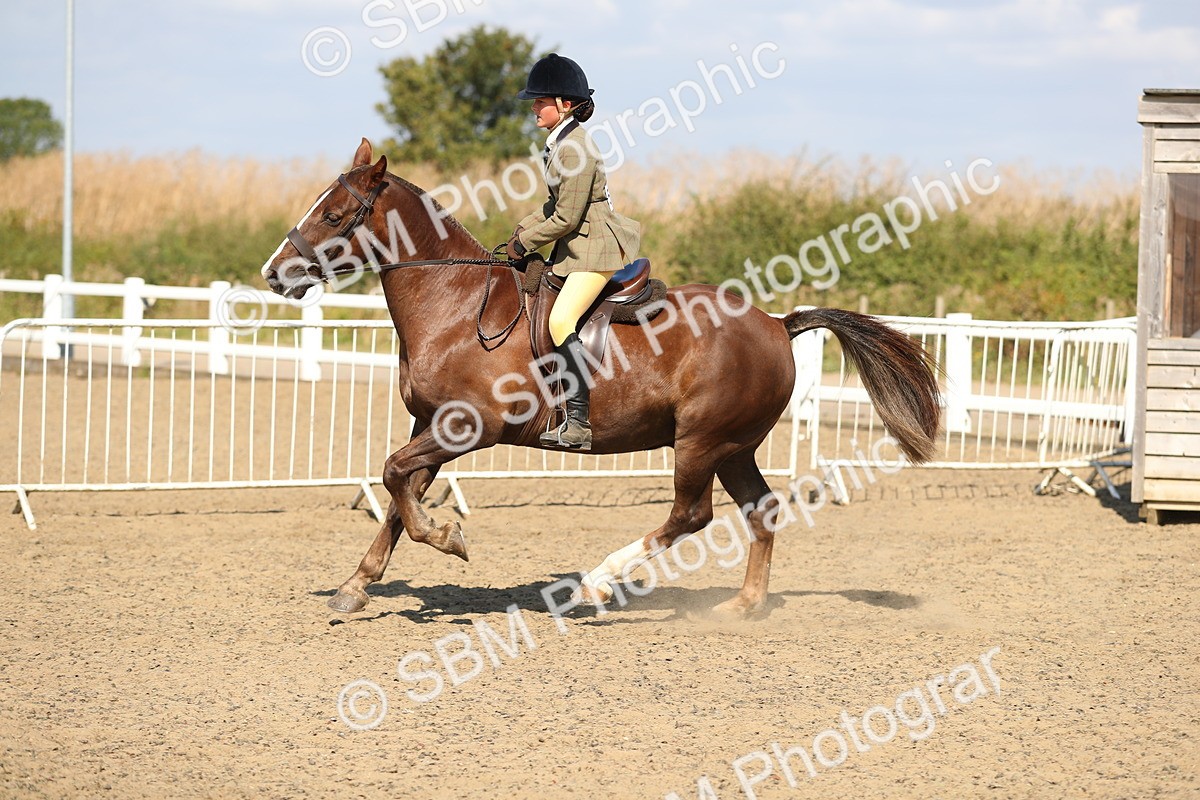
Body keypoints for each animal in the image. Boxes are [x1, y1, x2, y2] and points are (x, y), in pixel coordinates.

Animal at [261, 138, 941, 619]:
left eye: (335, 215)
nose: (273, 273)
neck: (454, 304)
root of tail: (777, 323)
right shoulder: (431, 425)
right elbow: (400, 492)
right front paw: (356, 586)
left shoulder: (468, 427)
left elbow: (396, 478)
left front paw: (448, 538)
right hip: (732, 446)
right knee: (761, 511)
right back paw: (744, 605)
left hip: (700, 442)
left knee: (691, 516)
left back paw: (596, 582)